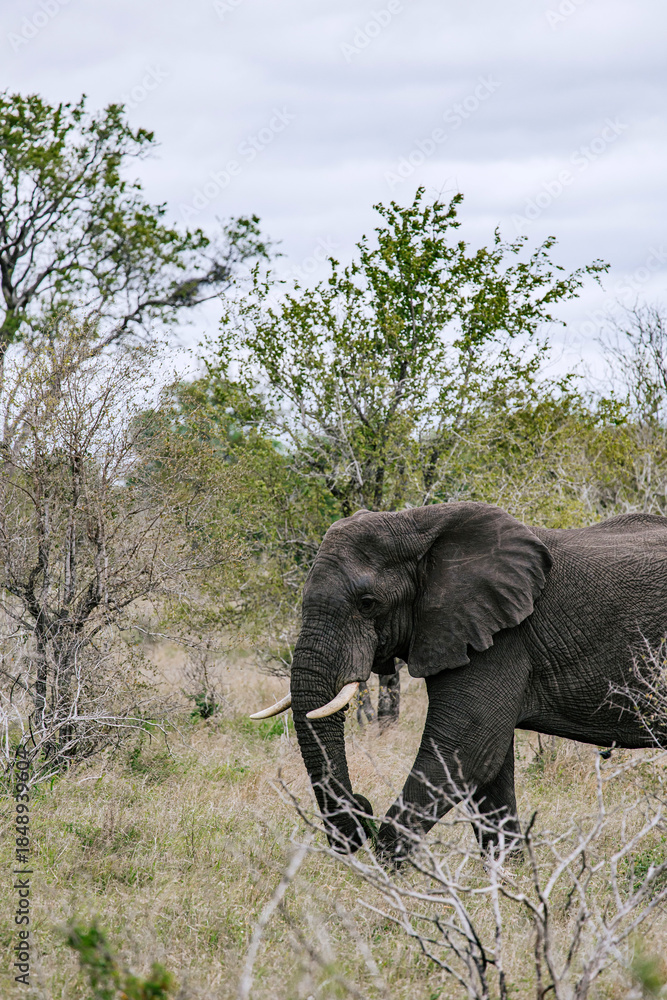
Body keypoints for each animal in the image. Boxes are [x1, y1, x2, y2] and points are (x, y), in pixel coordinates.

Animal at [250, 502, 667, 860]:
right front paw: (507, 881)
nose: (360, 811)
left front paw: (387, 879)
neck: (419, 525)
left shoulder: (500, 637)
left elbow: (465, 750)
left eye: (367, 603)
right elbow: (491, 768)